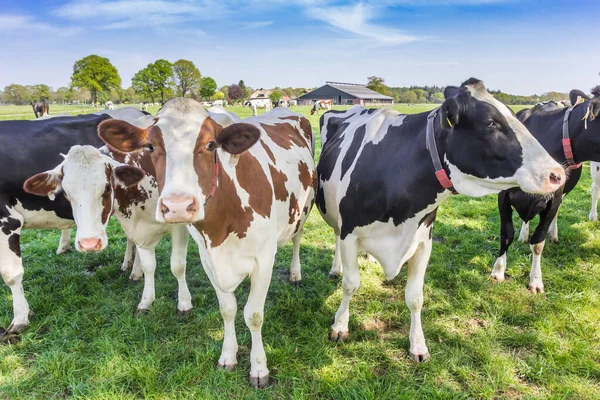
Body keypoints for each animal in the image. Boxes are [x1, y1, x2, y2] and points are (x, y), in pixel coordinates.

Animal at [24, 145, 190, 314]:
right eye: (66, 193)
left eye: (107, 187)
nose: (89, 243)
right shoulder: (139, 230)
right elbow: (149, 266)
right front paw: (146, 301)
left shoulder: (180, 226)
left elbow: (177, 266)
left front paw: (184, 303)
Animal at [96, 99, 316, 388]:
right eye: (150, 146)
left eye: (211, 145)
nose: (177, 206)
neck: (223, 222)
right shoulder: (208, 258)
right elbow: (228, 310)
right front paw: (228, 356)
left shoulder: (263, 260)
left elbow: (254, 316)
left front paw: (259, 368)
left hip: (304, 207)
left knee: (297, 239)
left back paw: (295, 273)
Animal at [316, 77, 564, 362]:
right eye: (491, 123)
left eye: (514, 115)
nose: (558, 174)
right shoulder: (350, 233)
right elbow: (350, 284)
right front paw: (339, 325)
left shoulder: (423, 240)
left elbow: (415, 297)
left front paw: (418, 345)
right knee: (336, 237)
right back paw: (337, 268)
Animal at [490, 88, 600, 294]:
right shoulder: (503, 194)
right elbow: (506, 234)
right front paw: (498, 271)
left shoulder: (554, 198)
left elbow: (538, 242)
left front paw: (535, 280)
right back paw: (523, 234)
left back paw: (553, 233)